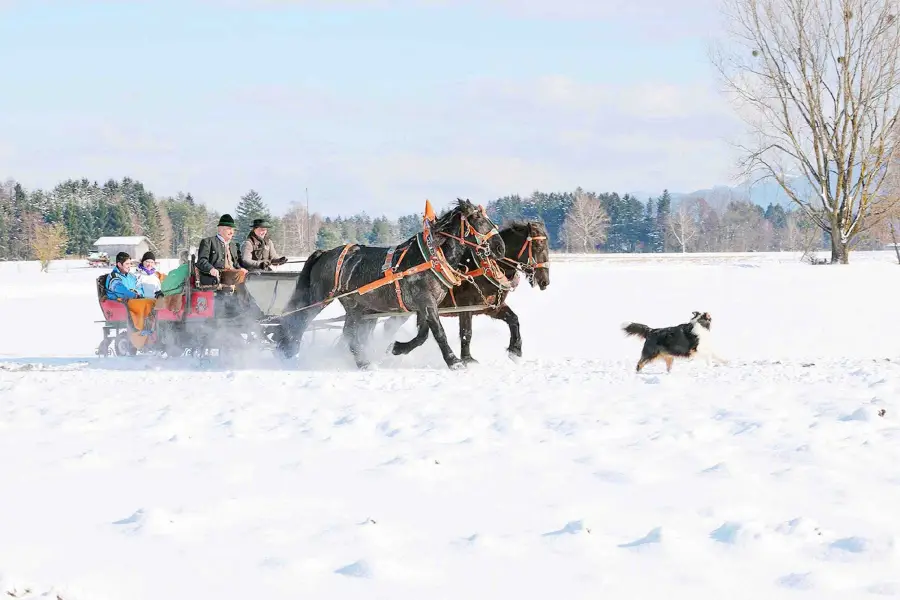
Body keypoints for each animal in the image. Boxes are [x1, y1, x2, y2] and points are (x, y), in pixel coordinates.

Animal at [278, 199, 502, 368]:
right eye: (478, 218)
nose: (500, 246)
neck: (432, 257)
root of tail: (324, 253)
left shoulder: (424, 306)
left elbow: (422, 335)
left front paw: (396, 348)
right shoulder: (426, 302)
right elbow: (438, 333)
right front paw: (453, 361)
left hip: (356, 306)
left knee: (349, 335)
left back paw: (364, 363)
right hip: (321, 297)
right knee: (299, 321)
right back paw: (290, 352)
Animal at [378, 219, 548, 360]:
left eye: (547, 246)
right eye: (538, 246)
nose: (545, 281)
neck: (485, 267)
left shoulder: (491, 307)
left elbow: (514, 319)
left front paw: (515, 350)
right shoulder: (466, 306)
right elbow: (466, 332)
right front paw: (467, 359)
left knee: (389, 326)